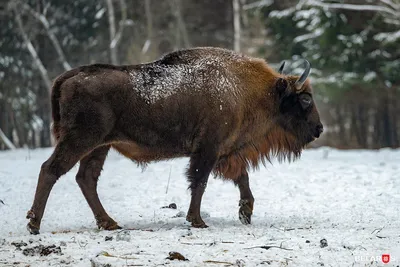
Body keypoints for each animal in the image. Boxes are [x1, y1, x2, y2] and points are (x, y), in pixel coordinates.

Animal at [27, 47, 322, 234]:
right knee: (50, 170)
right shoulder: (208, 149)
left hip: (99, 147)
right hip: (80, 140)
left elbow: (241, 177)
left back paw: (109, 223)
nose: (319, 128)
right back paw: (33, 224)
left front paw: (245, 213)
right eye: (306, 99)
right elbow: (200, 182)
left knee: (86, 179)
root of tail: (69, 76)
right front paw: (198, 221)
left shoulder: (225, 152)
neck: (247, 89)